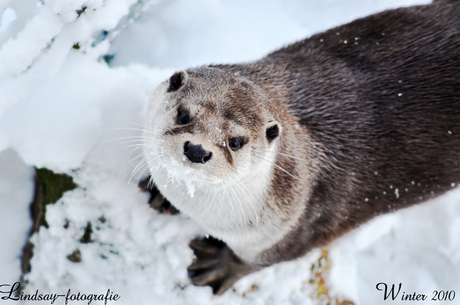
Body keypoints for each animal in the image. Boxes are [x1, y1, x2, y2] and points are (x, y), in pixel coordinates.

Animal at [138, 0, 460, 294]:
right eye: (183, 115)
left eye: (235, 142)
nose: (197, 150)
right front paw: (161, 195)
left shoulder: (302, 224)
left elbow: (263, 258)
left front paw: (220, 266)